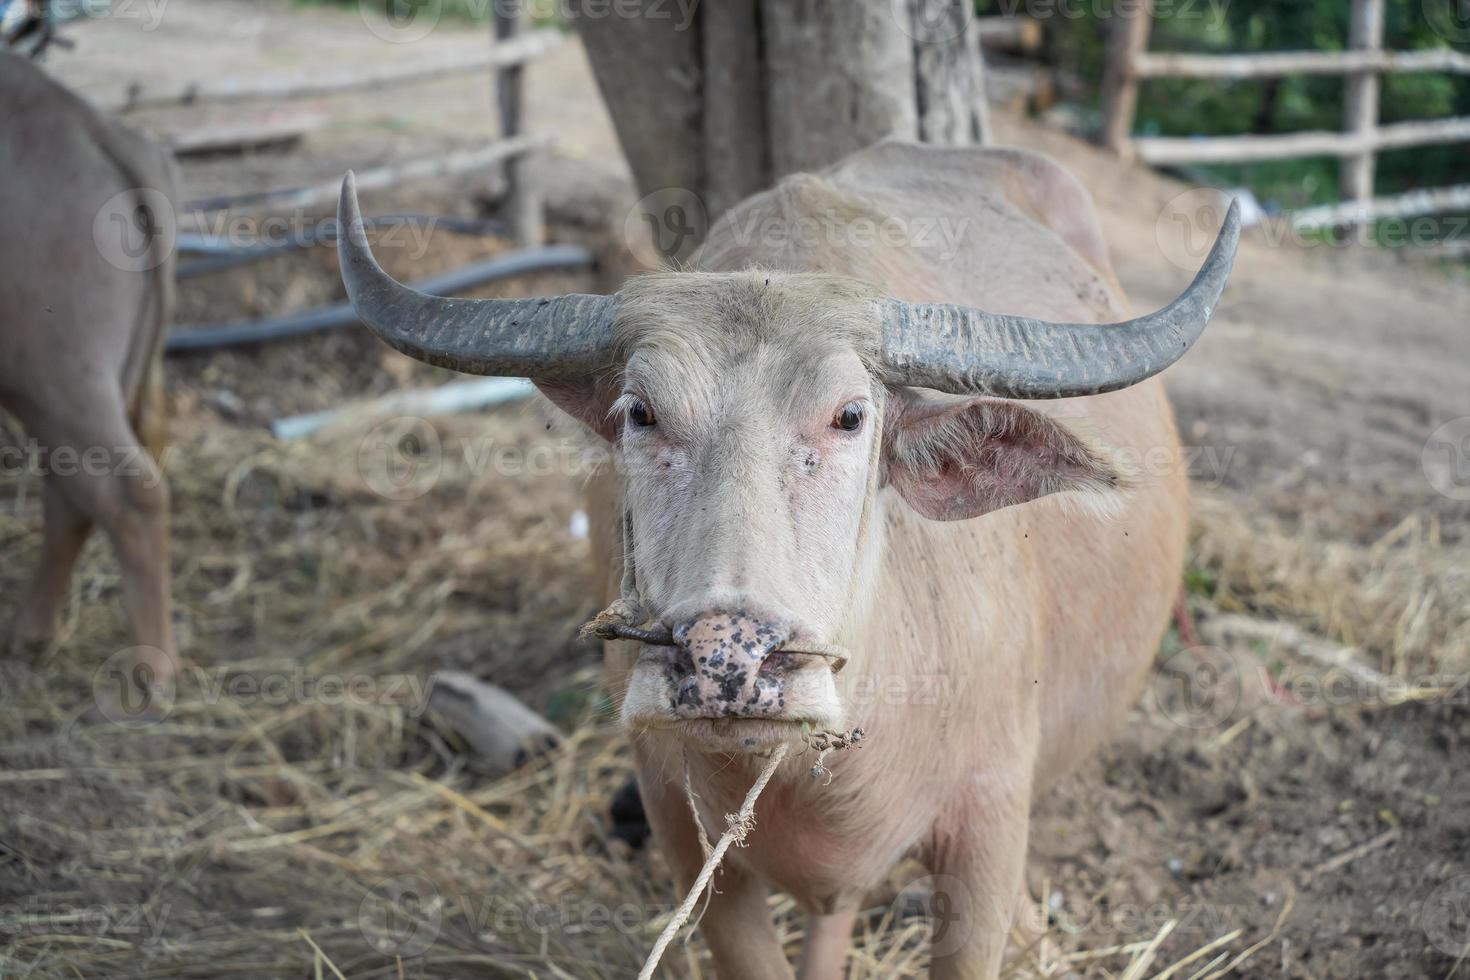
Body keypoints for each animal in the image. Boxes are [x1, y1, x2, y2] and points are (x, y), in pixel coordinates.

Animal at [2, 49, 177, 687]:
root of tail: (81, 121)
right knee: (73, 490)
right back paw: (28, 633)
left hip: (54, 374)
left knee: (129, 494)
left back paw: (154, 668)